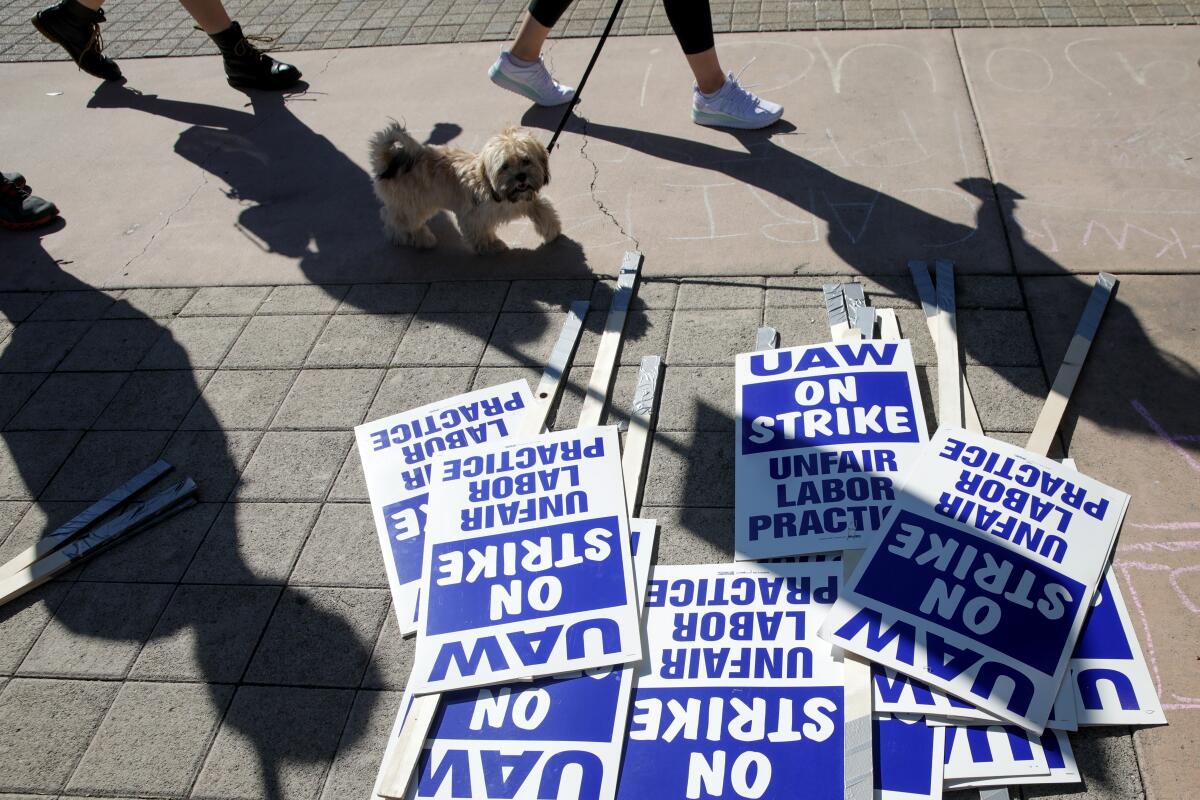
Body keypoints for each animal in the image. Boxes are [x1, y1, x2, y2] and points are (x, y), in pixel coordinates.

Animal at [369, 122, 561, 255]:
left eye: (526, 160)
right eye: (505, 166)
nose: (521, 176)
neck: (497, 190)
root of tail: (387, 159)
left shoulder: (525, 200)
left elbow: (543, 208)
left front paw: (552, 231)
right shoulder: (473, 215)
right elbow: (479, 232)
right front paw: (490, 246)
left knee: (391, 215)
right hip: (413, 204)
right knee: (398, 221)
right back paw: (415, 238)